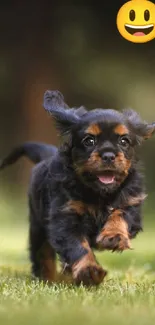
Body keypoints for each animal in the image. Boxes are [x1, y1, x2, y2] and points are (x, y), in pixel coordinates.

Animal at [0, 90, 154, 284]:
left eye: (124, 141)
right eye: (89, 141)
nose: (108, 155)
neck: (99, 193)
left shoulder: (131, 203)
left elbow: (120, 214)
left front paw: (113, 236)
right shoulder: (65, 217)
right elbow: (78, 246)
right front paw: (89, 271)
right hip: (38, 226)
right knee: (42, 255)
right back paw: (49, 279)